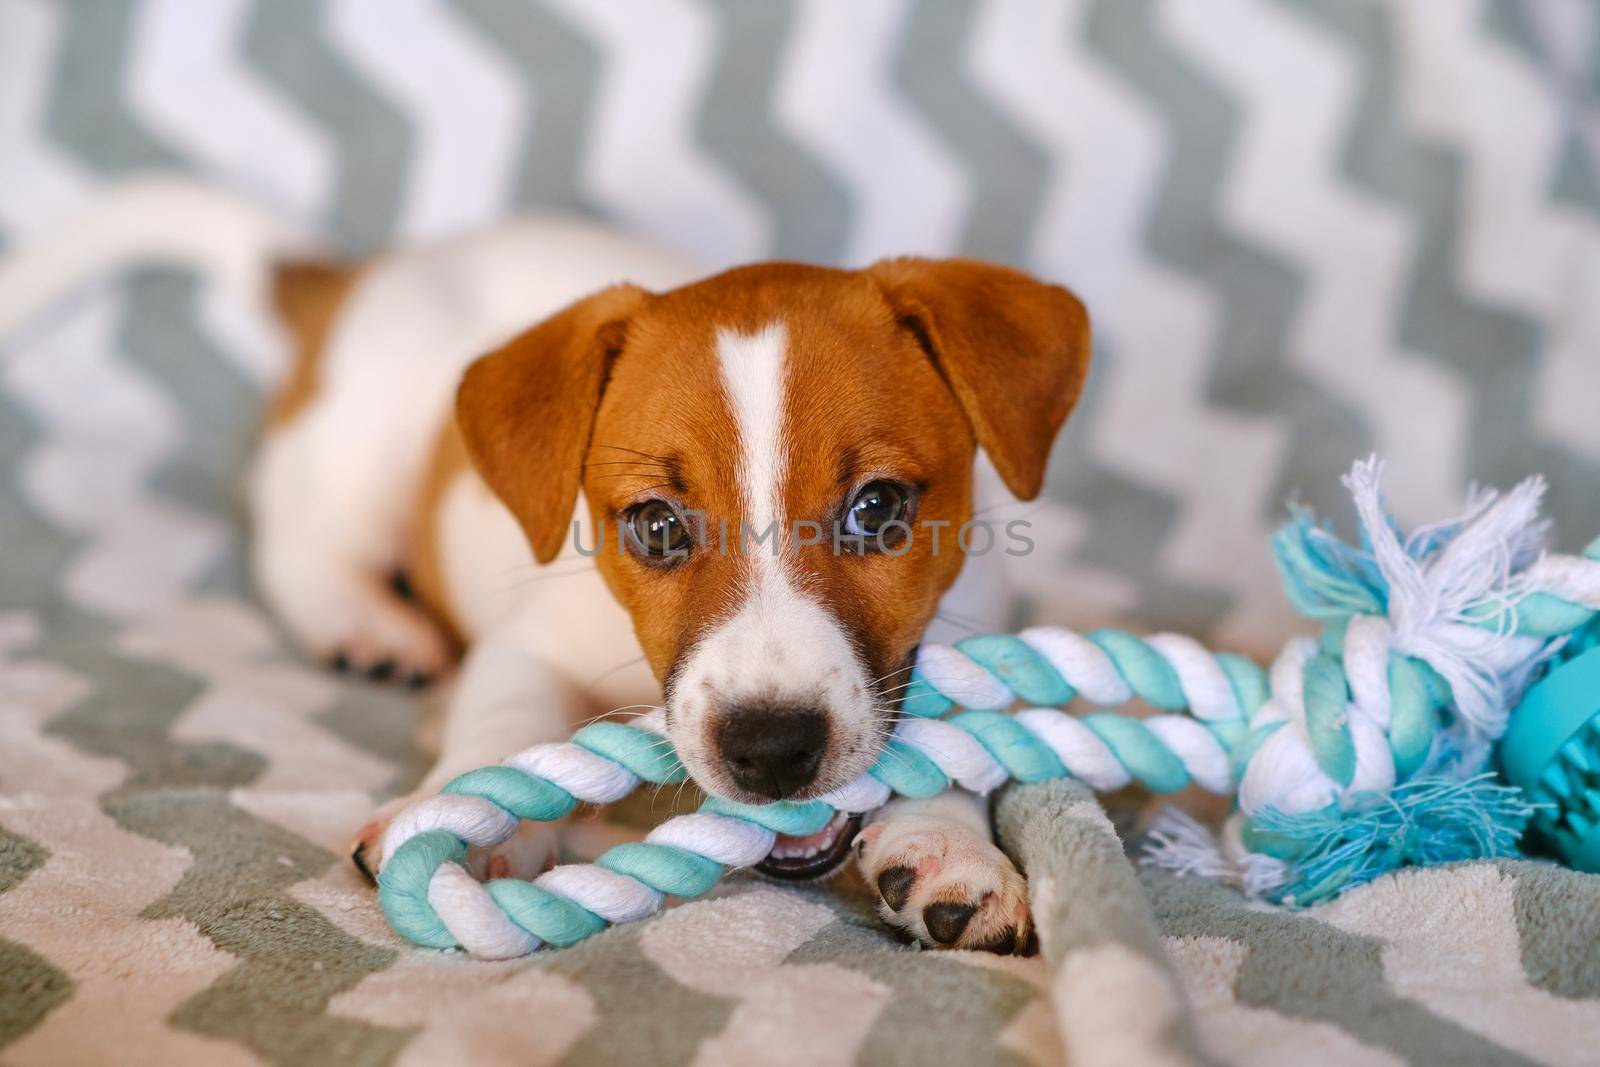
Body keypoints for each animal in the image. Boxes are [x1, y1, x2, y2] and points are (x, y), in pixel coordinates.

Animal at [249, 220, 1094, 953]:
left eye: (878, 507)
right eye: (656, 525)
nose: (771, 749)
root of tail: (374, 269)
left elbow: (955, 741)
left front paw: (949, 843)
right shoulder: (533, 642)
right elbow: (505, 716)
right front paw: (470, 810)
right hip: (364, 450)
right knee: (301, 544)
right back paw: (370, 626)